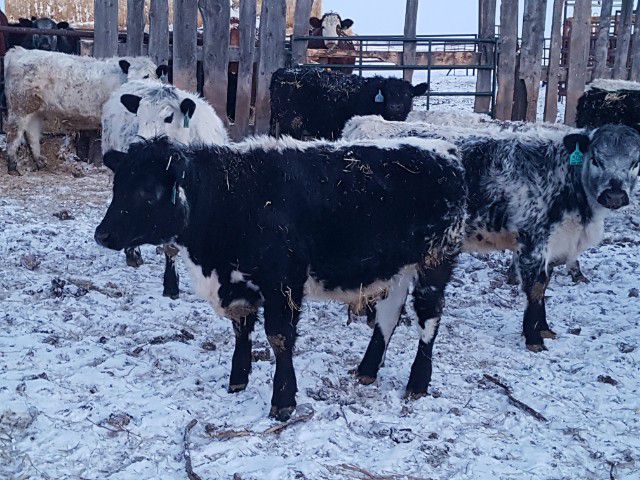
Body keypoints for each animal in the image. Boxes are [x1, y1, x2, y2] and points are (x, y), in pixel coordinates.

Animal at [4, 47, 163, 175]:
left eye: (146, 76)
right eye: (129, 76)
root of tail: (20, 51)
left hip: (34, 111)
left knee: (32, 134)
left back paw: (40, 162)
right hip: (20, 108)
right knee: (13, 134)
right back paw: (13, 167)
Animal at [94, 135, 467, 420]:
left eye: (148, 190)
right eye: (117, 185)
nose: (102, 235)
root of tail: (444, 150)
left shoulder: (283, 283)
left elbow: (279, 338)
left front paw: (283, 401)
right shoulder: (239, 284)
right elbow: (241, 330)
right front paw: (237, 381)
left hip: (435, 261)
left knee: (429, 319)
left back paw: (417, 383)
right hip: (395, 269)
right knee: (388, 317)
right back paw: (367, 370)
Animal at [343, 116, 640, 380]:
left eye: (635, 162)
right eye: (596, 159)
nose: (615, 195)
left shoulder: (553, 244)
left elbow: (545, 285)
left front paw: (545, 329)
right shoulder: (533, 240)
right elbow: (535, 288)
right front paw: (533, 338)